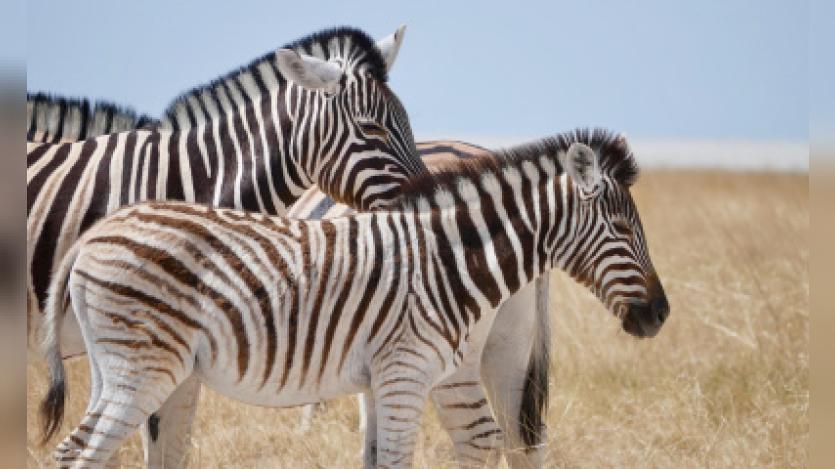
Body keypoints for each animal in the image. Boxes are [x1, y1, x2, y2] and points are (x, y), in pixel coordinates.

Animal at [39, 128, 669, 468]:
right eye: (620, 227)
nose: (660, 315)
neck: (446, 259)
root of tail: (93, 236)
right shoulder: (404, 373)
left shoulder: (392, 377)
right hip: (143, 367)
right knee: (80, 451)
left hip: (116, 366)